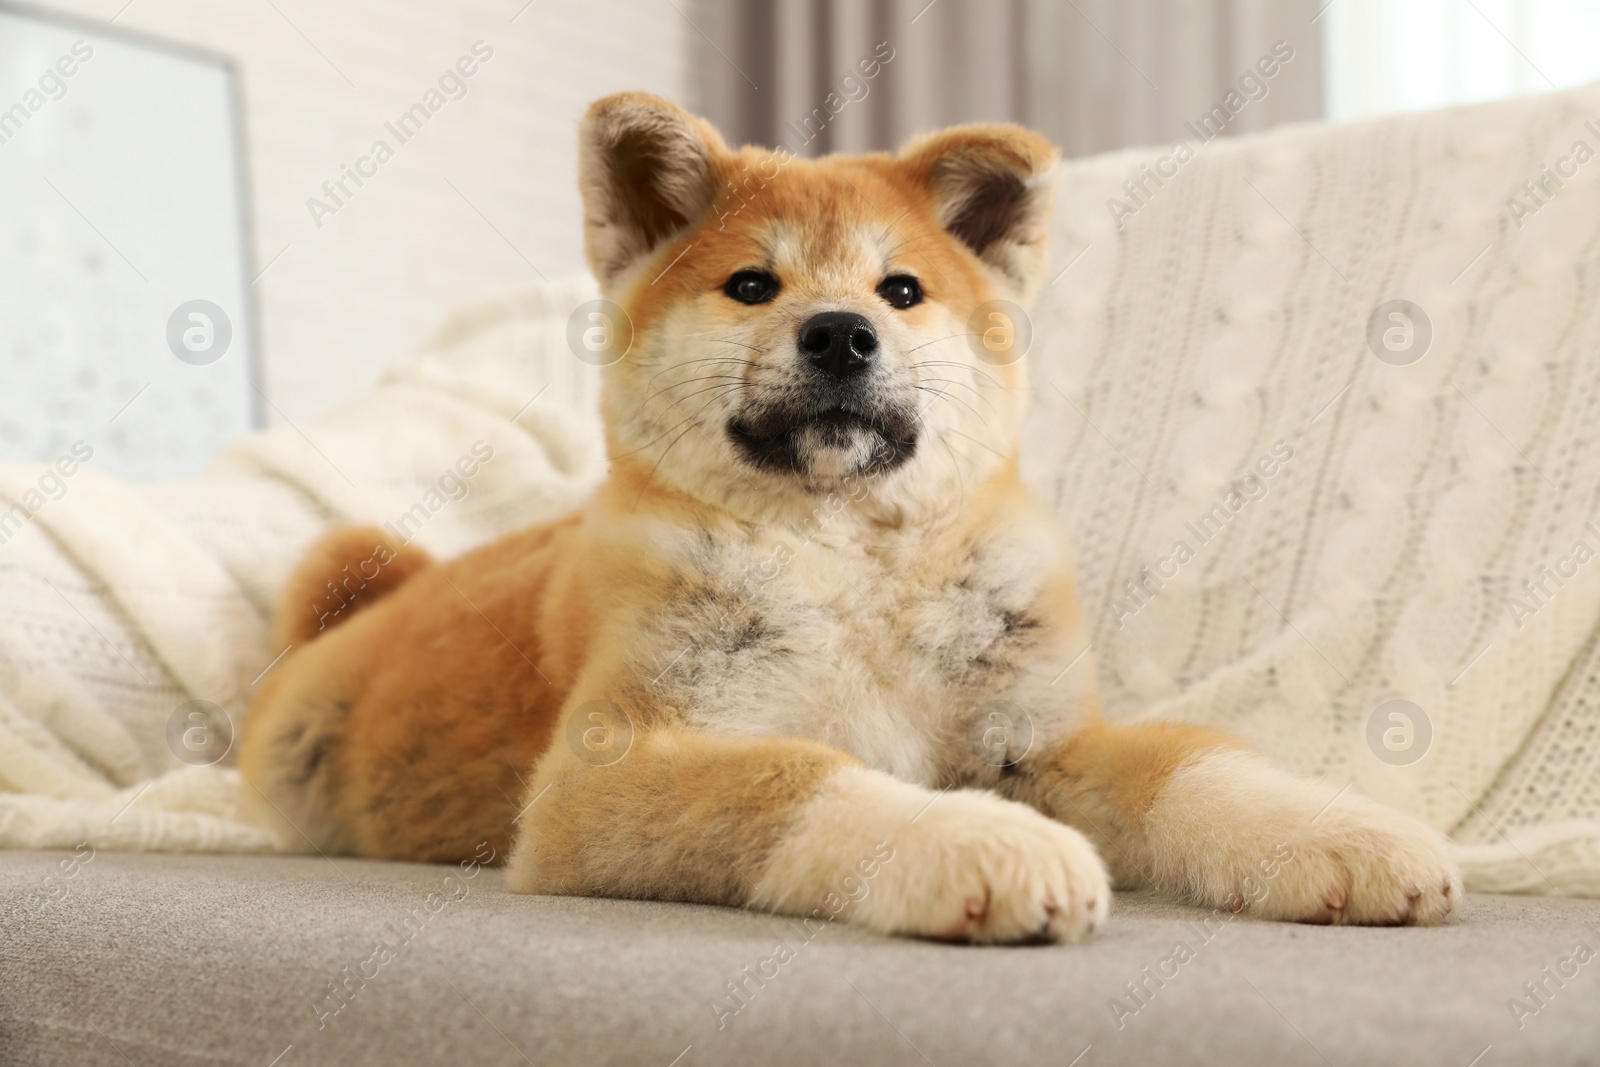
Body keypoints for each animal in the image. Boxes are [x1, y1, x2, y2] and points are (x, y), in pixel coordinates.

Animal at [240, 91, 1465, 940]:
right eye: (752, 285)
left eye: (901, 291)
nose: (839, 332)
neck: (849, 564)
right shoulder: (604, 775)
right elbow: (806, 778)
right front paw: (977, 840)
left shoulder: (1047, 738)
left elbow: (1197, 768)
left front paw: (1343, 830)